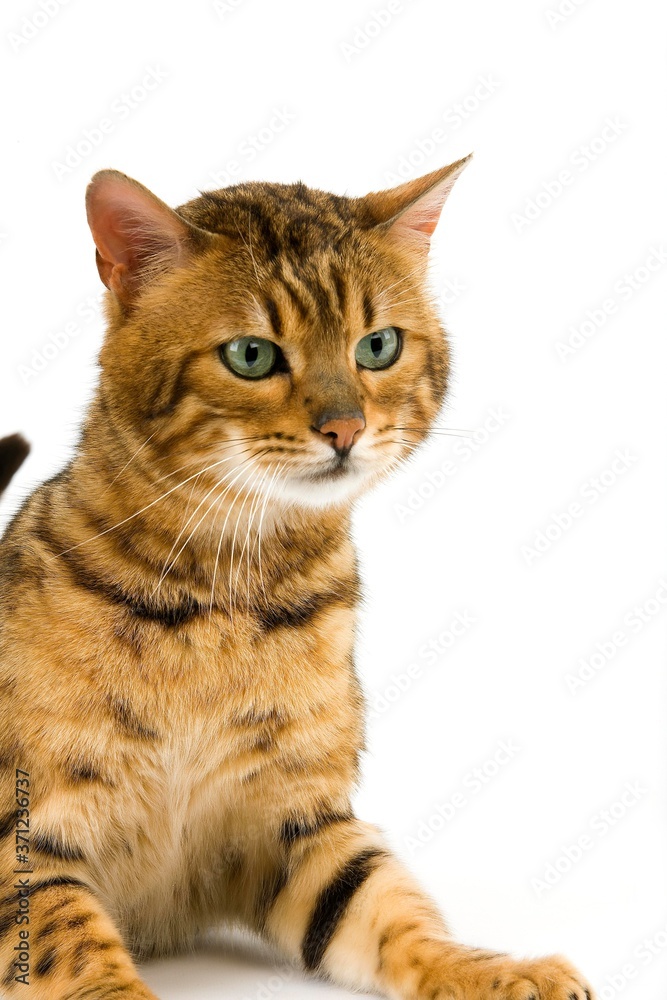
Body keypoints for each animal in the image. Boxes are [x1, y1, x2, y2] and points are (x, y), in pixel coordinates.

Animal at [0, 160, 596, 996]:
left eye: (376, 346)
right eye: (251, 356)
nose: (345, 428)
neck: (228, 591)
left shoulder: (297, 825)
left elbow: (397, 912)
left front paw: (498, 970)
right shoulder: (24, 835)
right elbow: (73, 948)